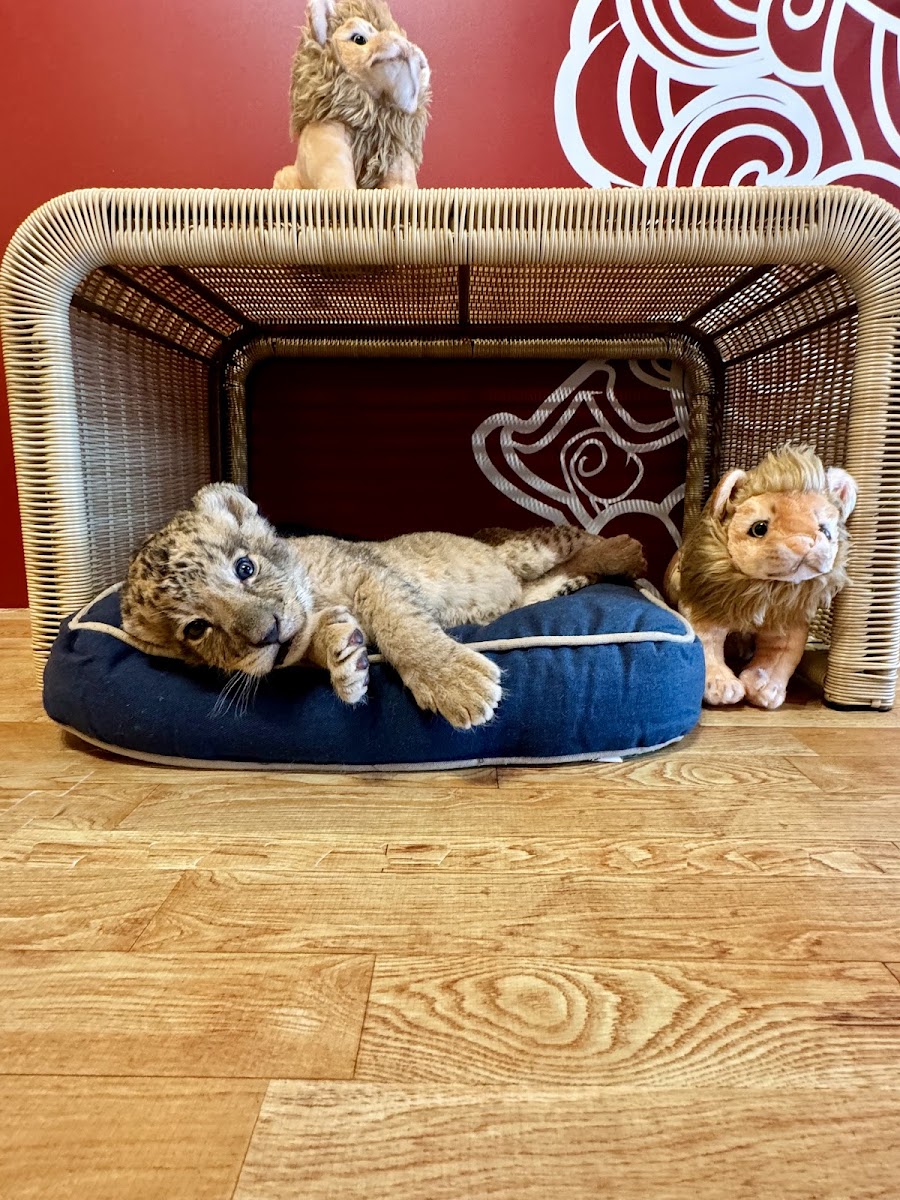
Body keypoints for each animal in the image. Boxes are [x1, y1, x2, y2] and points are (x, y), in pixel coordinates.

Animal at [120, 485, 647, 729]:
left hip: (526, 549)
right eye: (196, 629)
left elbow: (400, 624)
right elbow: (314, 645)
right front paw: (346, 658)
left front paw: (454, 683)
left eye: (244, 568)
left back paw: (632, 551)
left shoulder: (371, 573)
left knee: (577, 538)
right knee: (544, 582)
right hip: (521, 587)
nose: (268, 634)